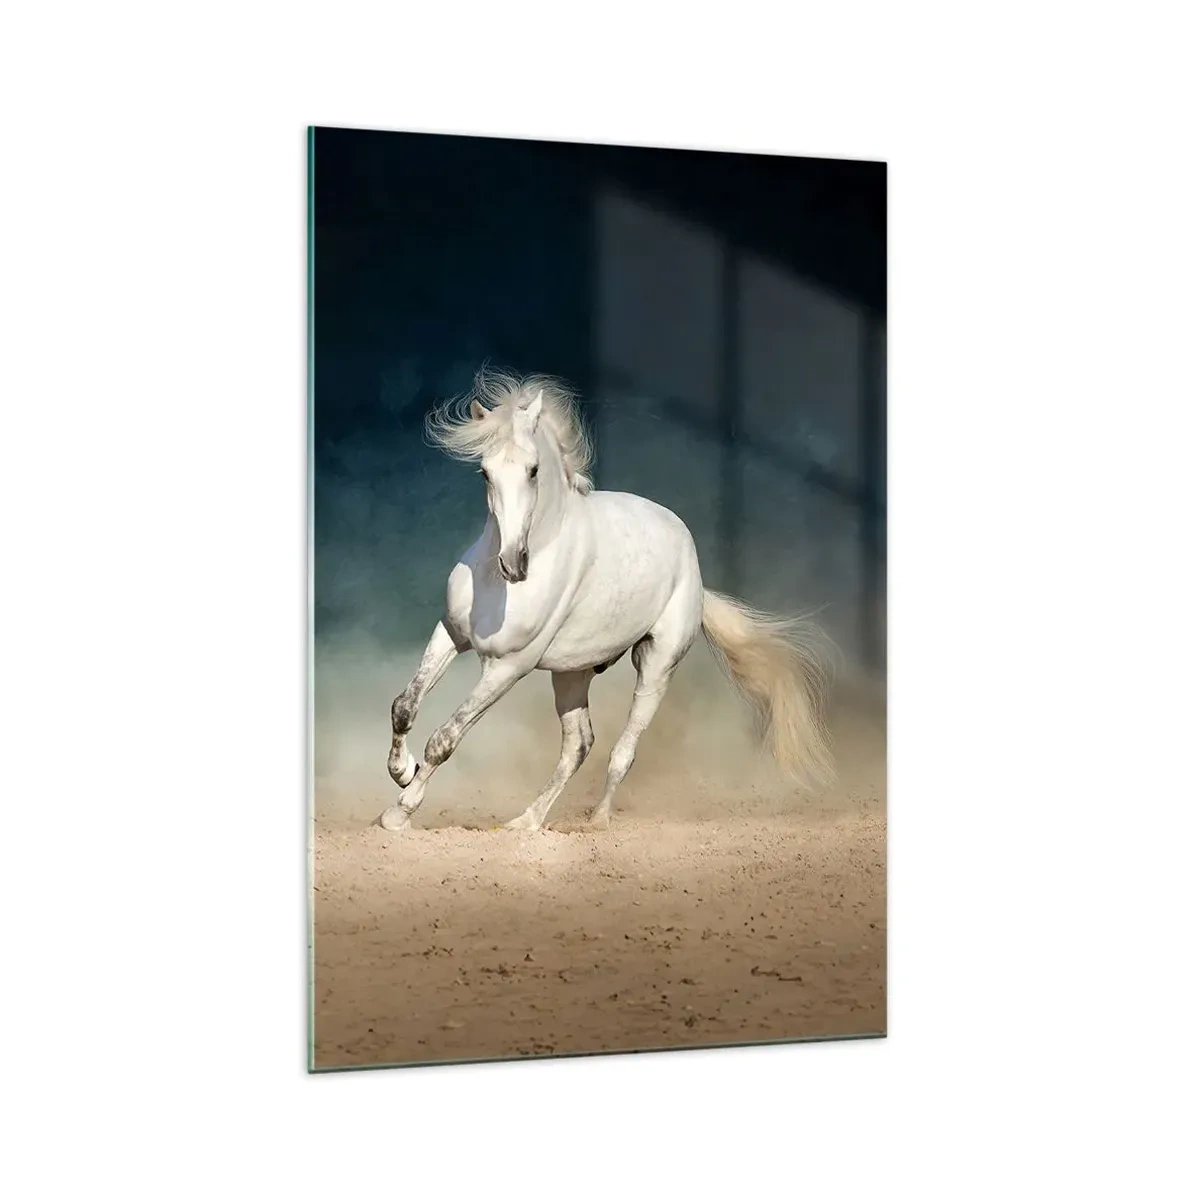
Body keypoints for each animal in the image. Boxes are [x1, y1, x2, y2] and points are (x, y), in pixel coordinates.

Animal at [379, 370, 834, 833]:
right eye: (485, 473)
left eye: (533, 470)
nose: (513, 564)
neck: (497, 583)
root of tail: (696, 573)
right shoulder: (451, 634)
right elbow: (404, 706)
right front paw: (402, 771)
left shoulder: (508, 667)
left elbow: (445, 738)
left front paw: (399, 812)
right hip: (571, 673)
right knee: (579, 744)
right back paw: (524, 823)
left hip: (656, 665)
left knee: (622, 750)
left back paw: (596, 822)